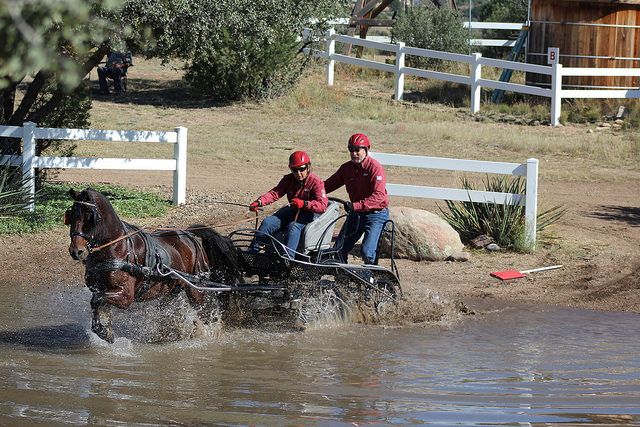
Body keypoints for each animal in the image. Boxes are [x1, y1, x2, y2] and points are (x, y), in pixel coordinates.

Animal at [65, 189, 240, 342]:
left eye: (90, 216)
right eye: (70, 215)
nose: (76, 251)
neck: (117, 247)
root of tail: (190, 236)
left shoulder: (126, 297)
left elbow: (96, 300)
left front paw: (103, 331)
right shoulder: (100, 288)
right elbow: (97, 304)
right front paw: (105, 331)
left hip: (195, 289)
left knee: (204, 315)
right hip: (171, 290)